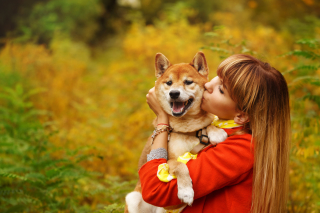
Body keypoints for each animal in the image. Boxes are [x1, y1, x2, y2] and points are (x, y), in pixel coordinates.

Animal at [125, 51, 228, 213]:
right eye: (169, 83)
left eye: (188, 82)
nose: (174, 93)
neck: (187, 128)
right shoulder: (167, 162)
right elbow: (181, 166)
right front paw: (186, 191)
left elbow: (208, 123)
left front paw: (216, 132)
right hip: (133, 198)